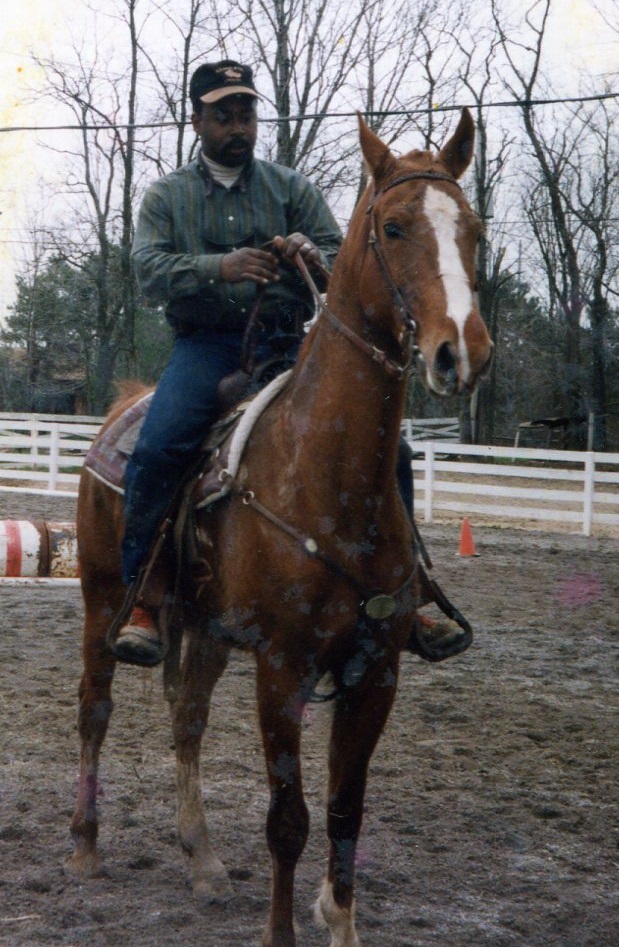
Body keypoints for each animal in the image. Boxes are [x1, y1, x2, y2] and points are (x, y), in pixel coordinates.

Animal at [68, 113, 494, 947]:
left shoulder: (375, 670)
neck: (322, 476)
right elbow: (288, 820)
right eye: (393, 227)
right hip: (103, 599)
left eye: (472, 229)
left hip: (204, 627)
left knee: (188, 719)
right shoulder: (282, 667)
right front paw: (282, 929)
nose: (460, 350)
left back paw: (201, 859)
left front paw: (339, 919)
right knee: (95, 707)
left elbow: (344, 811)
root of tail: (124, 403)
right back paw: (86, 844)